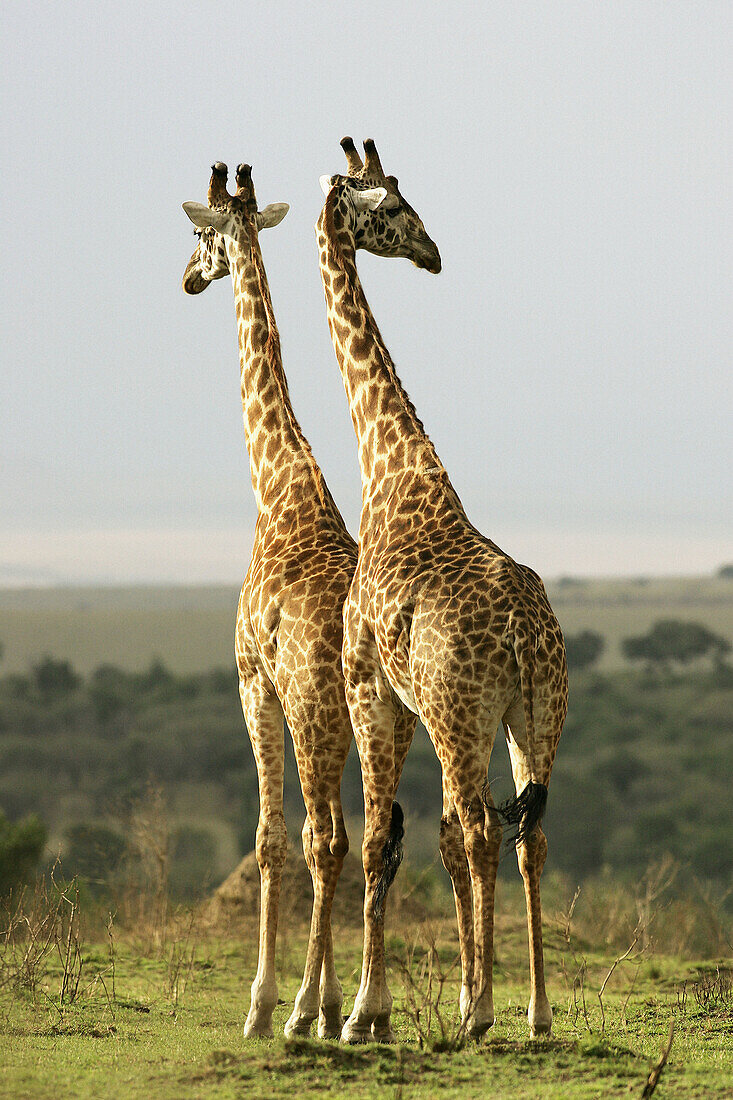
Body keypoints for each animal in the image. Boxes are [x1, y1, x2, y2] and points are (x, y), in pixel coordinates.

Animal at [314, 141, 563, 1042]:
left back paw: (483, 1016)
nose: (432, 252)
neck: (388, 466)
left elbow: (382, 840)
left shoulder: (368, 686)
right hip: (534, 711)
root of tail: (524, 631)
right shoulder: (412, 703)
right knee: (527, 832)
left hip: (463, 714)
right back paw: (533, 1013)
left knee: (487, 826)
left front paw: (362, 1014)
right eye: (391, 207)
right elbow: (437, 839)